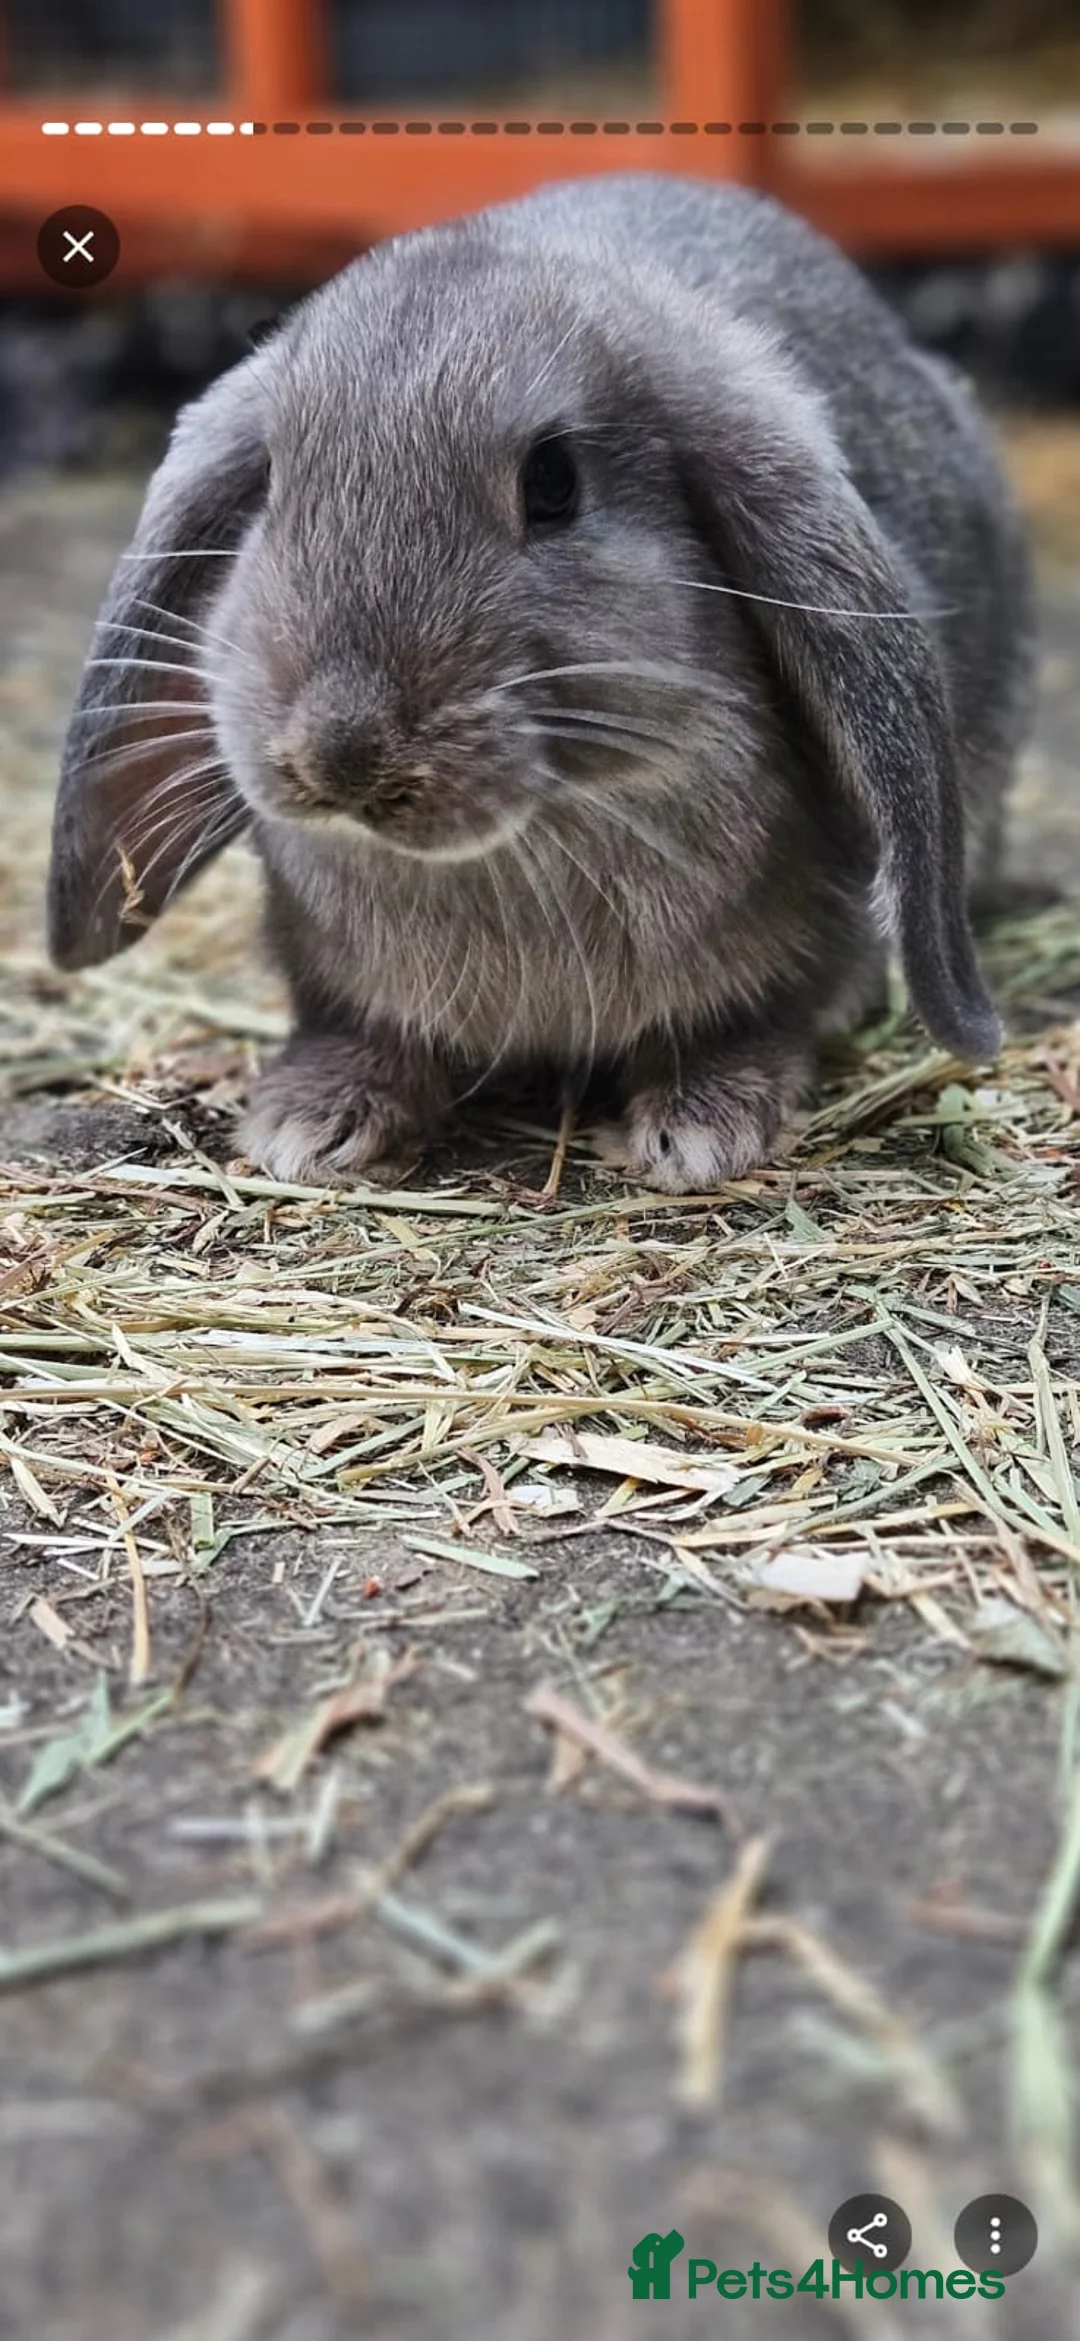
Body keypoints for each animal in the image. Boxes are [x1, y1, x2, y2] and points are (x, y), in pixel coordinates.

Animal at [46, 171, 1036, 1194]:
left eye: (554, 481)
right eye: (273, 485)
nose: (340, 752)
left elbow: (755, 1019)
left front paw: (698, 1132)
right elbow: (356, 1029)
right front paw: (309, 1124)